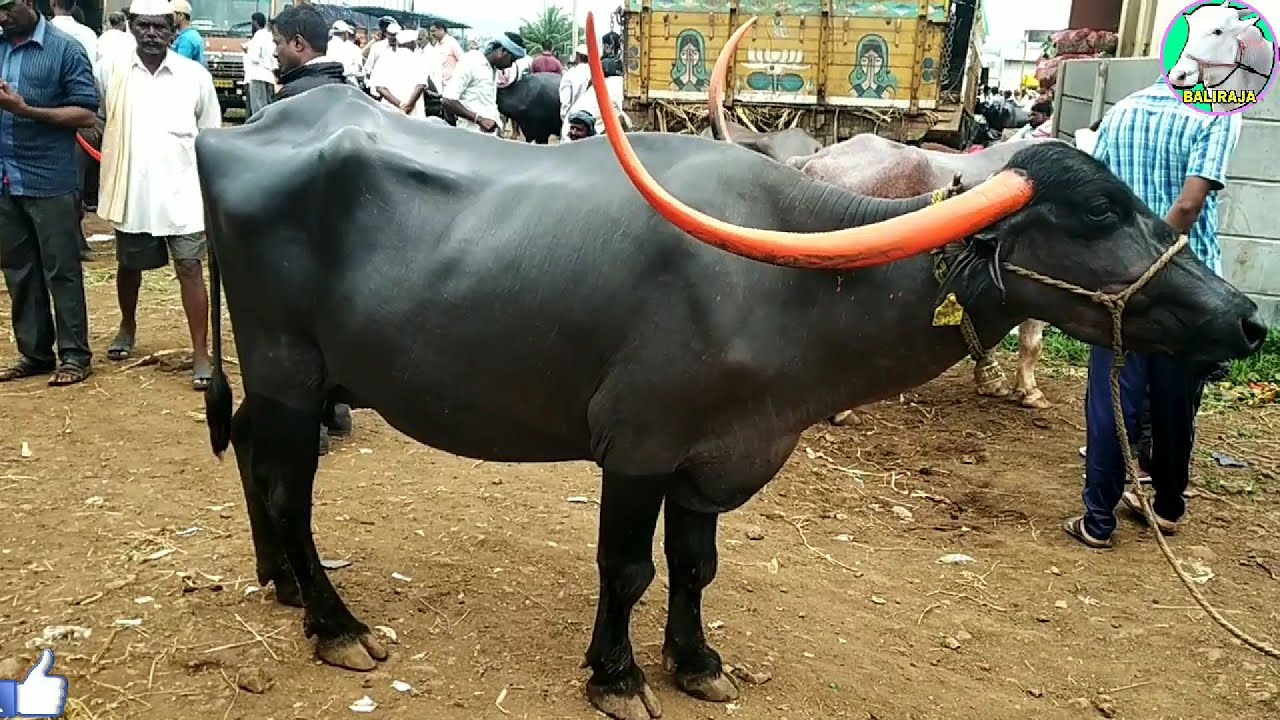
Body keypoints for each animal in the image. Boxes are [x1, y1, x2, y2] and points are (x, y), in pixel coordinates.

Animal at [194, 77, 1264, 712]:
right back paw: (335, 624)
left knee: (246, 445)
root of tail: (236, 133)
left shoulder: (718, 456)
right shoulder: (636, 449)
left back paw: (280, 581)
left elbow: (696, 566)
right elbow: (627, 569)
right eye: (1096, 213)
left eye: (1133, 196)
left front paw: (697, 662)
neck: (790, 278)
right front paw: (618, 674)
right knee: (287, 485)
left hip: (291, 381)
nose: (1247, 320)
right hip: (291, 370)